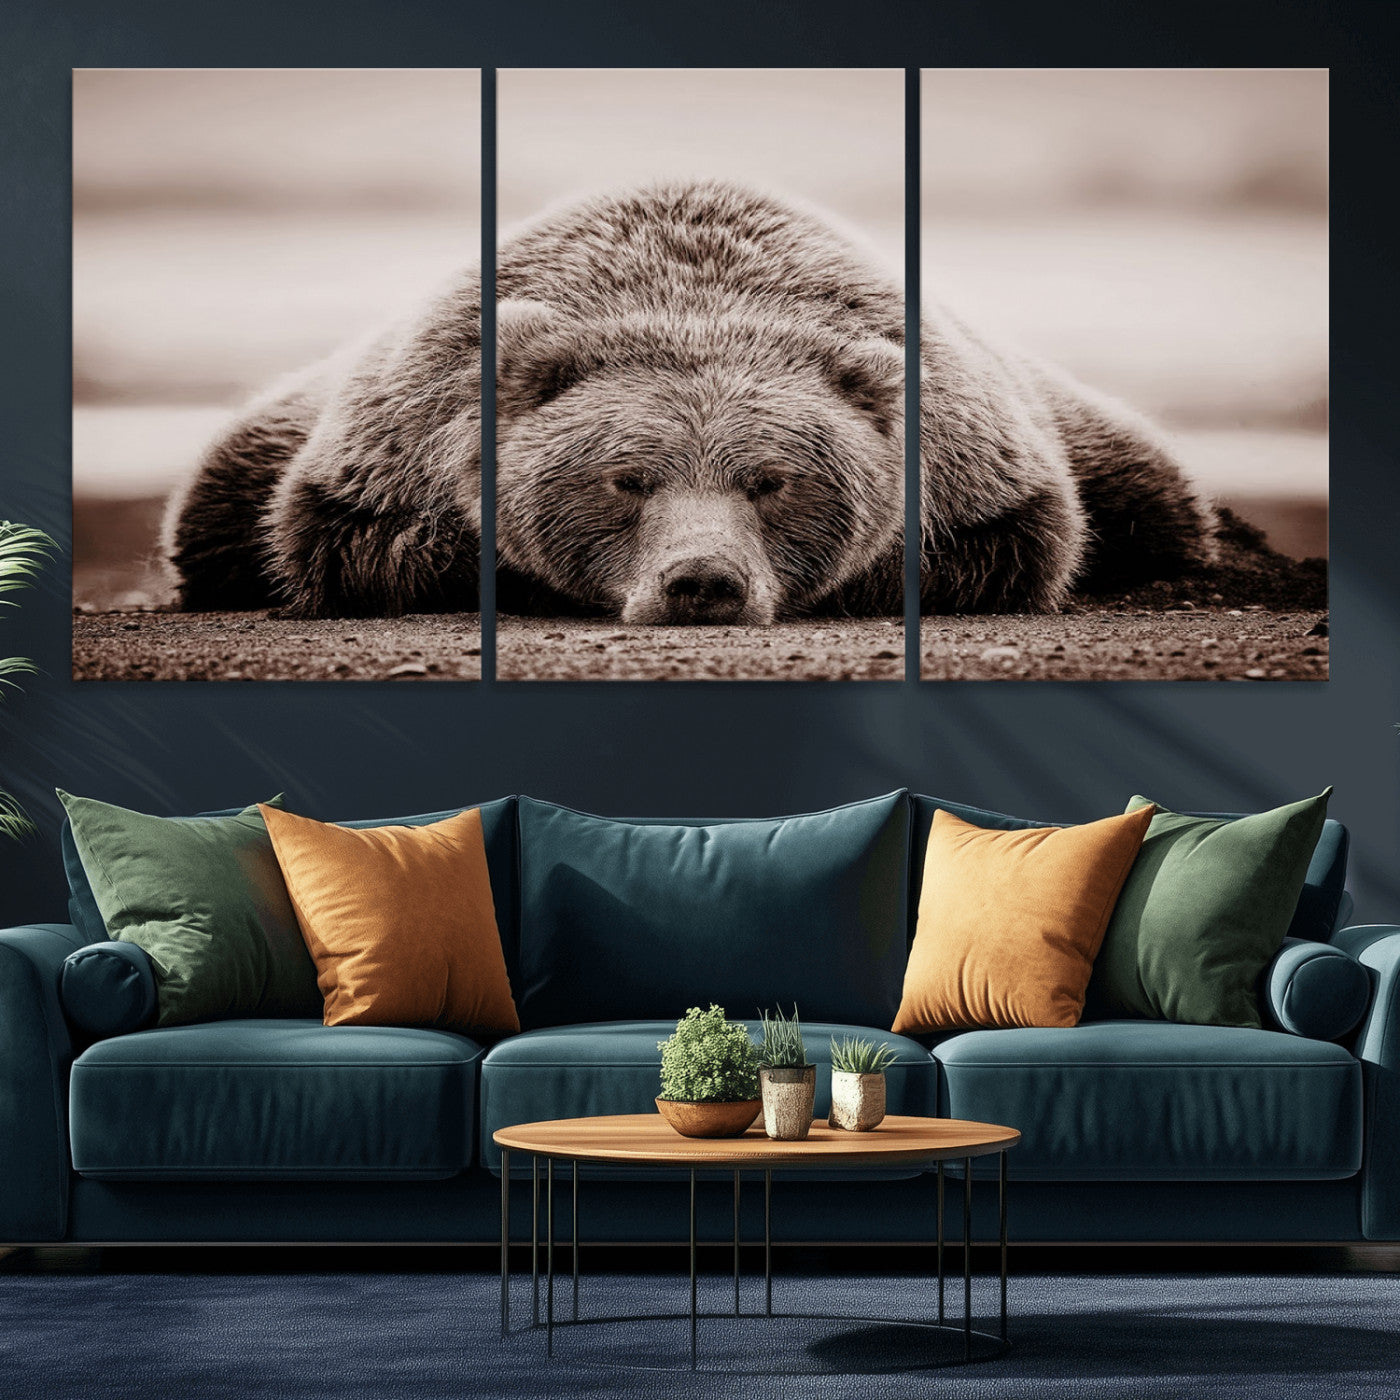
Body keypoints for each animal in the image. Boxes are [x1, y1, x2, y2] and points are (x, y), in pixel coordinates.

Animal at [165, 179, 1210, 621]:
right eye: (626, 479)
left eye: (773, 481)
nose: (702, 581)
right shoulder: (395, 440)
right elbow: (347, 538)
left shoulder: (976, 456)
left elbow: (1013, 542)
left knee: (1153, 493)